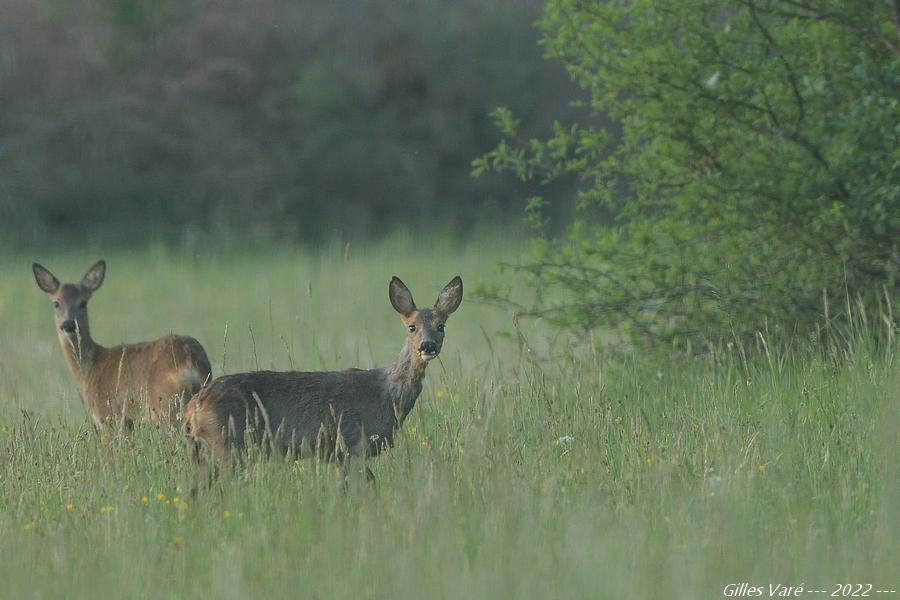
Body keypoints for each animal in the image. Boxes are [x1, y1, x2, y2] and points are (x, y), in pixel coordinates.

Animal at [32, 260, 213, 428]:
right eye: (56, 303)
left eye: (83, 302)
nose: (68, 324)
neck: (89, 369)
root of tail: (189, 359)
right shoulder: (128, 422)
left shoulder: (109, 417)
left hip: (167, 406)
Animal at [184, 274, 464, 462]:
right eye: (412, 327)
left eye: (441, 326)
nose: (428, 346)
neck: (386, 394)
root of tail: (194, 405)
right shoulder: (350, 442)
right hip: (228, 444)